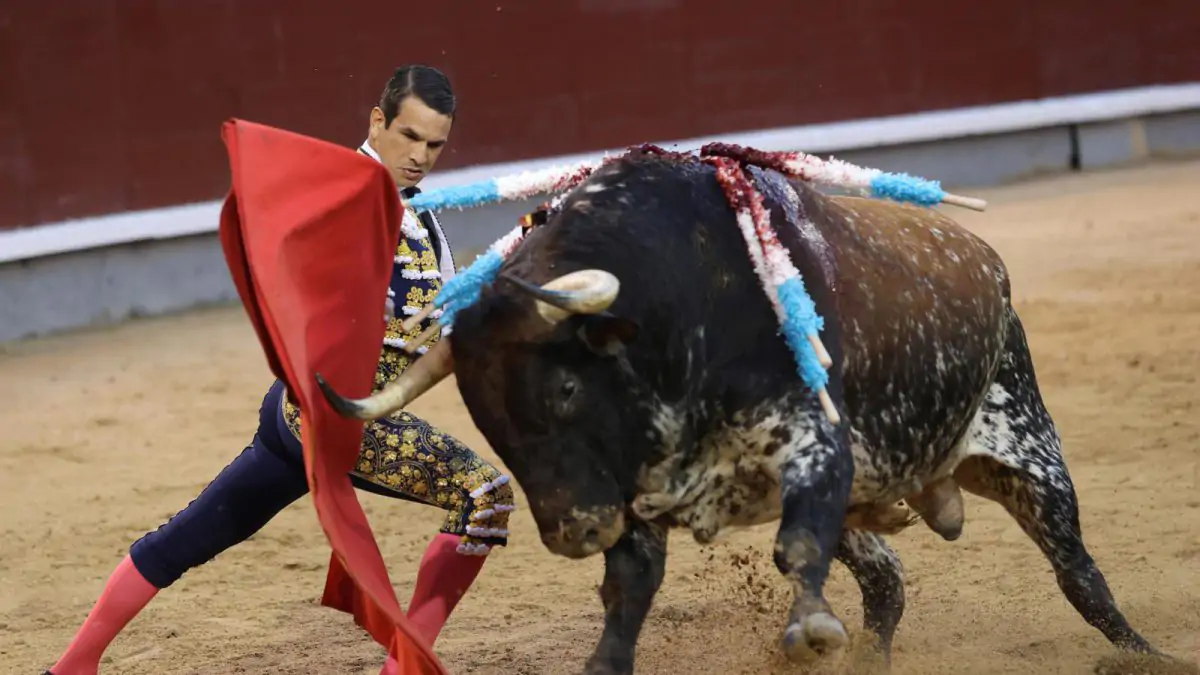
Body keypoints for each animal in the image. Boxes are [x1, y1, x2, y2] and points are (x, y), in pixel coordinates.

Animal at [316, 148, 1161, 672]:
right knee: (887, 582)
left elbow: (794, 551)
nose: (572, 532)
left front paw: (809, 629)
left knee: (1080, 576)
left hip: (1031, 455)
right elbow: (629, 592)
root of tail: (987, 260)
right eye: (485, 415)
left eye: (563, 390)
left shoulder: (814, 445)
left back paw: (1149, 653)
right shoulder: (636, 493)